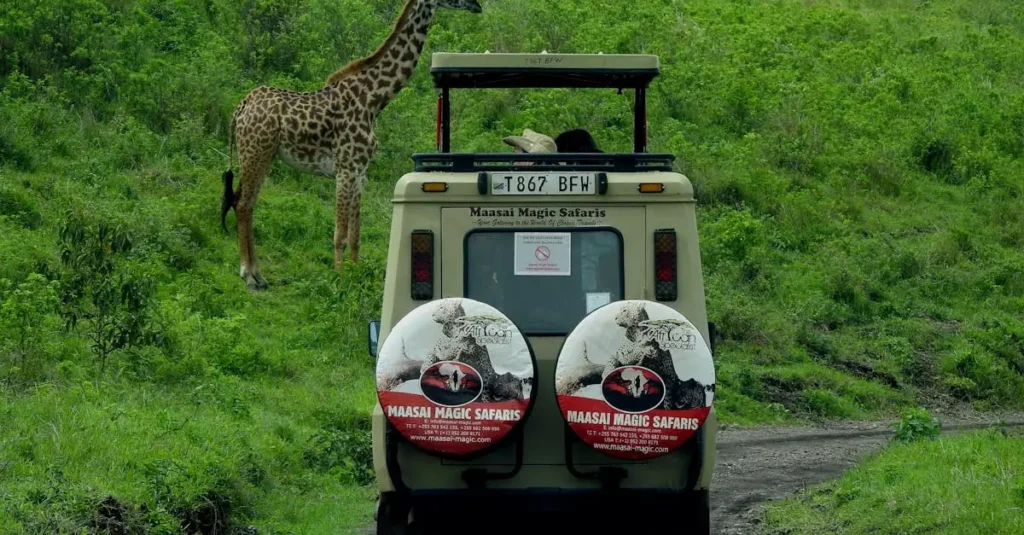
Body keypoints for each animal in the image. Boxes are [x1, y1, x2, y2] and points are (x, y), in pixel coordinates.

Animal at [220, 0, 483, 290]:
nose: (478, 5)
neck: (374, 99)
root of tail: (240, 109)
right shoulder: (345, 169)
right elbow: (340, 233)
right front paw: (338, 278)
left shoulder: (360, 171)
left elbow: (356, 235)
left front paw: (355, 275)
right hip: (256, 153)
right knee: (243, 204)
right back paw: (249, 275)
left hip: (261, 156)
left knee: (246, 203)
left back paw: (259, 275)